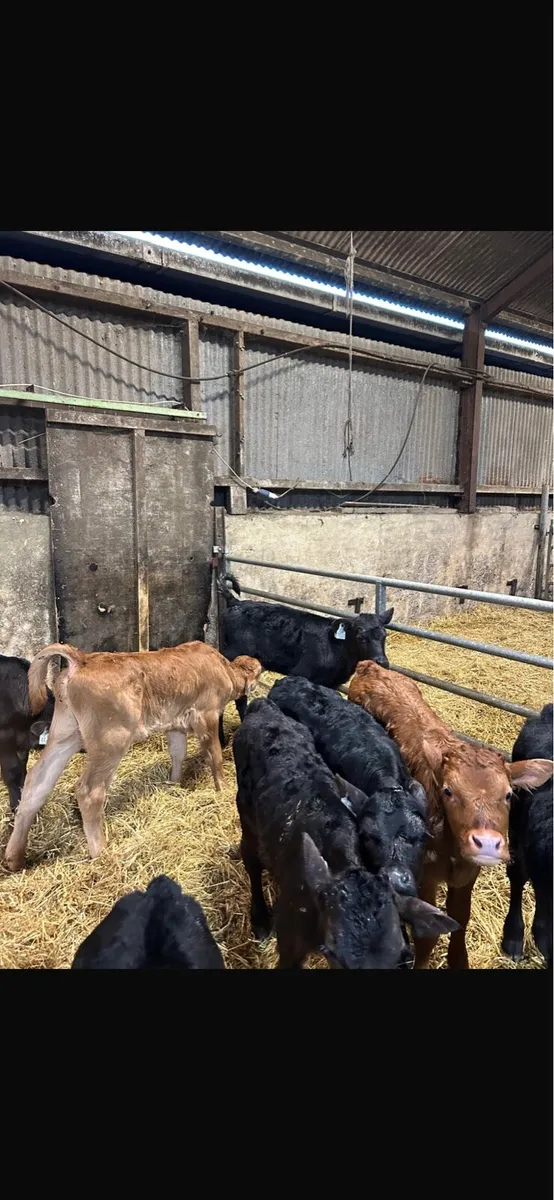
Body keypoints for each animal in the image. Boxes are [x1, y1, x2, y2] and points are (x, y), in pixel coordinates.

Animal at [217, 572, 393, 746]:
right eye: (360, 637)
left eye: (384, 635)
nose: (382, 662)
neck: (335, 647)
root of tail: (236, 602)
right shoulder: (302, 673)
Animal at [348, 660, 554, 969]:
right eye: (448, 791)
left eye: (508, 794)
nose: (487, 842)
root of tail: (370, 666)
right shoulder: (424, 875)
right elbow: (427, 933)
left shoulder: (468, 872)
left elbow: (461, 919)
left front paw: (459, 960)